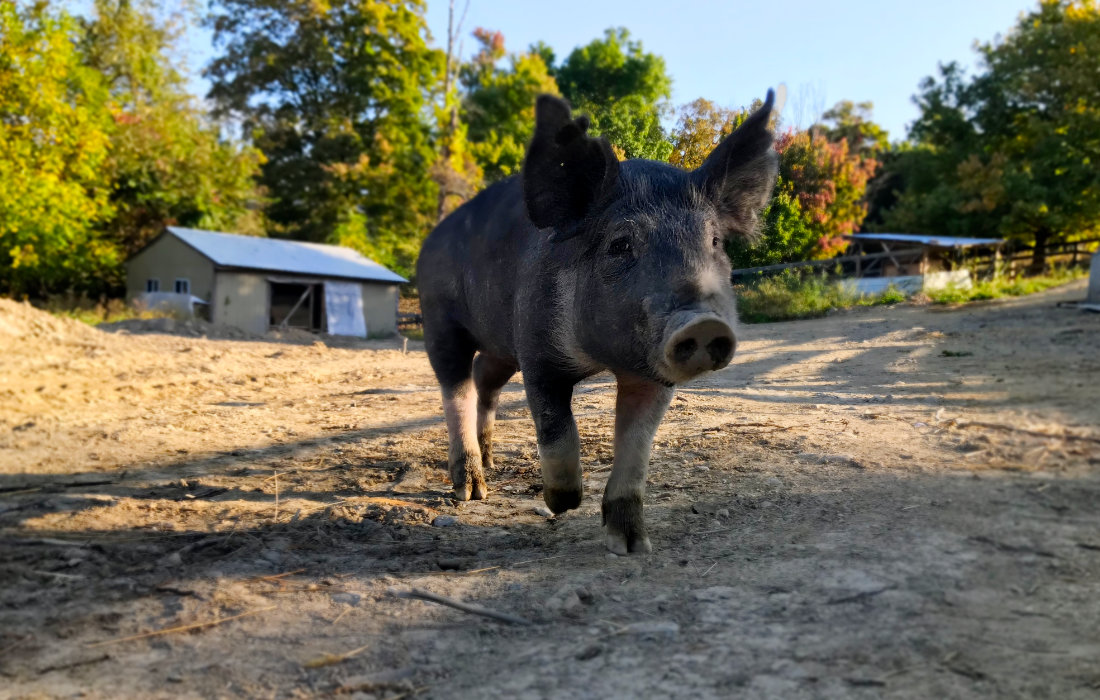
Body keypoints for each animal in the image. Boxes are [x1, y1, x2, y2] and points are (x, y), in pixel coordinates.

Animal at [416, 90, 778, 554]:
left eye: (714, 242)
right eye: (619, 244)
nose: (702, 324)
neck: (601, 360)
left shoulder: (651, 376)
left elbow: (637, 450)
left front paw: (632, 546)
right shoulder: (536, 350)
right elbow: (557, 429)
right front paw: (562, 504)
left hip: (499, 346)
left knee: (484, 379)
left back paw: (491, 462)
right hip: (439, 320)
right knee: (455, 389)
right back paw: (472, 492)